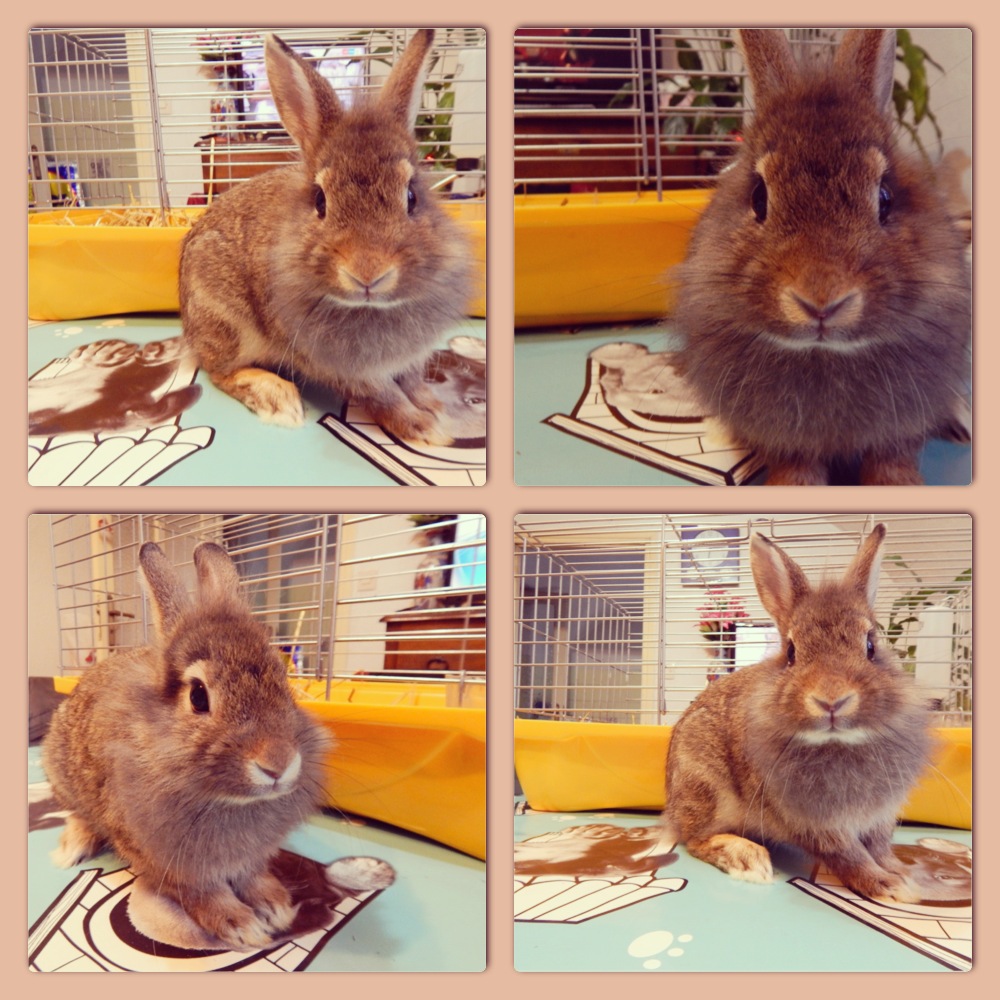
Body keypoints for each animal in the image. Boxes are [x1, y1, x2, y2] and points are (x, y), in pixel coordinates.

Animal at [41, 541, 335, 951]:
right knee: (77, 815)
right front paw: (239, 924)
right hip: (62, 776)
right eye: (198, 696)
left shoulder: (249, 856)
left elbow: (251, 875)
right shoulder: (166, 859)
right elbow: (201, 891)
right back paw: (71, 850)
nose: (278, 763)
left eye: (284, 684)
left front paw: (275, 905)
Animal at [179, 29, 475, 446]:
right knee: (218, 370)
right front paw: (424, 429)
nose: (368, 271)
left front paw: (435, 407)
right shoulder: (345, 369)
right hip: (227, 321)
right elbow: (384, 395)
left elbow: (412, 381)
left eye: (412, 197)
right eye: (320, 201)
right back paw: (278, 399)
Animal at [663, 524, 933, 903]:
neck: (839, 744)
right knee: (695, 839)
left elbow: (879, 848)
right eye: (791, 652)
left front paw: (903, 874)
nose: (832, 700)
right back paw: (748, 859)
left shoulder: (879, 817)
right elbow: (848, 854)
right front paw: (888, 887)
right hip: (706, 785)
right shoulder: (814, 822)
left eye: (871, 645)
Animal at [671, 29, 971, 485]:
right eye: (758, 197)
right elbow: (795, 464)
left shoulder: (903, 424)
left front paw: (899, 485)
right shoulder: (785, 440)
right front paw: (790, 487)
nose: (821, 301)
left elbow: (893, 457)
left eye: (886, 197)